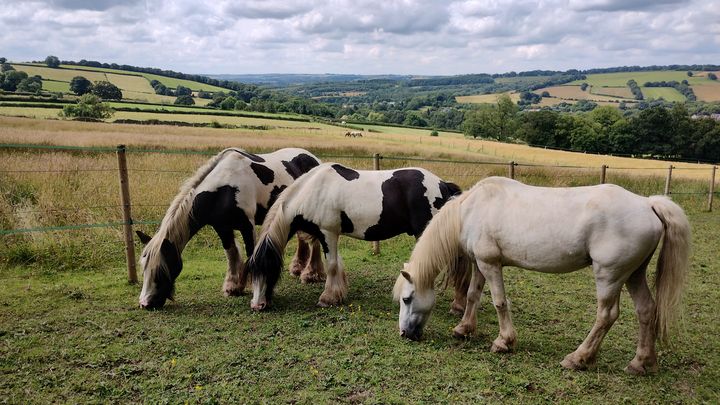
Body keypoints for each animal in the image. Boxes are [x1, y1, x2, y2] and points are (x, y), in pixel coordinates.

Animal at [136, 147, 325, 309]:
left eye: (160, 271)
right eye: (143, 268)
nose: (145, 304)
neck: (224, 188)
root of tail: (313, 158)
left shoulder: (247, 226)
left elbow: (251, 253)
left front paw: (255, 287)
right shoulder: (222, 227)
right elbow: (231, 253)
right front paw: (233, 287)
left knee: (314, 240)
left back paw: (311, 274)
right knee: (302, 237)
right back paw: (298, 268)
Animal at [246, 163, 463, 311]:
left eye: (268, 269)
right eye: (252, 272)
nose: (257, 305)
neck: (313, 190)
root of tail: (443, 184)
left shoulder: (328, 232)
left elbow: (332, 265)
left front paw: (327, 298)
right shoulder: (329, 235)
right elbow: (337, 264)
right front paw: (337, 293)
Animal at [394, 177, 690, 375]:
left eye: (407, 299)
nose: (405, 334)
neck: (472, 208)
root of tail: (648, 204)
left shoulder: (491, 264)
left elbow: (499, 302)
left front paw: (504, 342)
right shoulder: (480, 264)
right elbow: (472, 295)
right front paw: (463, 329)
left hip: (610, 276)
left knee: (607, 316)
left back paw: (578, 358)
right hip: (634, 274)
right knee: (646, 310)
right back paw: (641, 363)